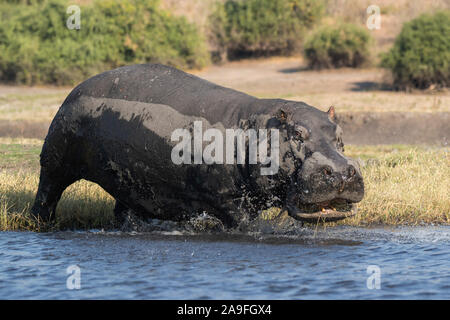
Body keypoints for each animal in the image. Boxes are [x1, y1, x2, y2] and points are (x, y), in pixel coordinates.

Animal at [31, 63, 364, 228]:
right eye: (297, 134)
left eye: (340, 135)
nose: (341, 171)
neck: (253, 127)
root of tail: (76, 88)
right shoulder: (229, 201)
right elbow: (247, 225)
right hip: (55, 160)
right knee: (47, 192)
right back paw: (40, 224)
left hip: (128, 182)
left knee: (123, 210)